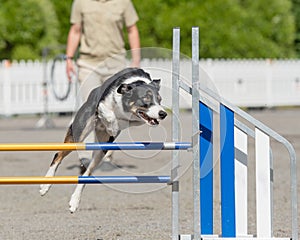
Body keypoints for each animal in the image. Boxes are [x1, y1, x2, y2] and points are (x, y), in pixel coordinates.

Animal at [38, 67, 168, 212]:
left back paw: (74, 201)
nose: (163, 114)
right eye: (146, 99)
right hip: (78, 131)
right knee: (58, 155)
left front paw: (114, 126)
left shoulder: (135, 121)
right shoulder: (102, 104)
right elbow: (107, 112)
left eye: (160, 100)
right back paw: (45, 186)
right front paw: (111, 123)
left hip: (100, 151)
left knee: (87, 173)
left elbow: (125, 121)